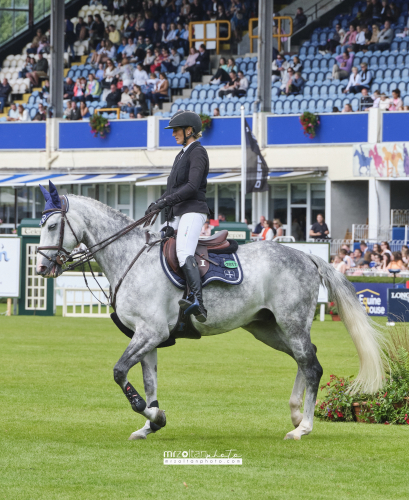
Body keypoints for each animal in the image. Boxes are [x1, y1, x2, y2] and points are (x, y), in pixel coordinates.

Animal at [36, 193, 384, 440]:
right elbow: (149, 382)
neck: (131, 259)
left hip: (292, 323)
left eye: (52, 226)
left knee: (312, 366)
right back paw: (296, 414)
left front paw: (151, 416)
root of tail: (307, 256)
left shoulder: (151, 333)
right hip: (267, 329)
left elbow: (120, 372)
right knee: (306, 359)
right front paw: (152, 423)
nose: (40, 267)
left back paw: (303, 428)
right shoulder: (147, 336)